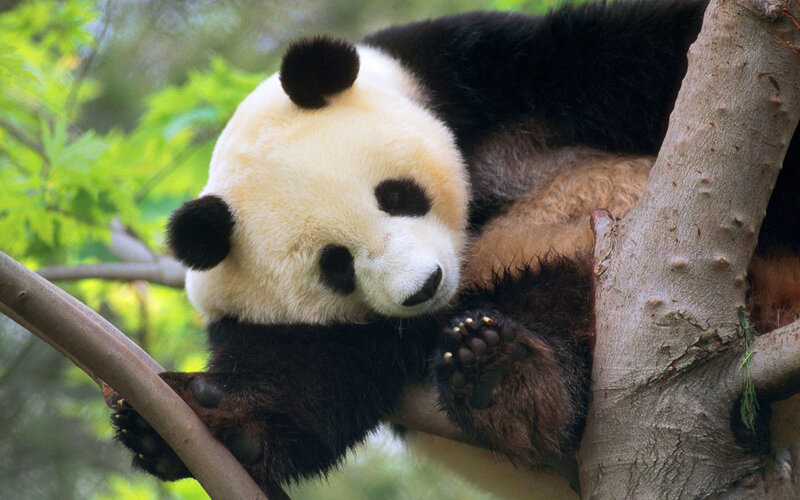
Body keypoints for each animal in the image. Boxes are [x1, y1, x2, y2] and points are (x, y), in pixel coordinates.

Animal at [110, 0, 800, 498]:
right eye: (336, 267)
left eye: (397, 196)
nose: (424, 286)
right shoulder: (294, 323)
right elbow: (304, 378)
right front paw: (196, 423)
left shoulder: (479, 70)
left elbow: (639, 54)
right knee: (556, 304)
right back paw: (503, 373)